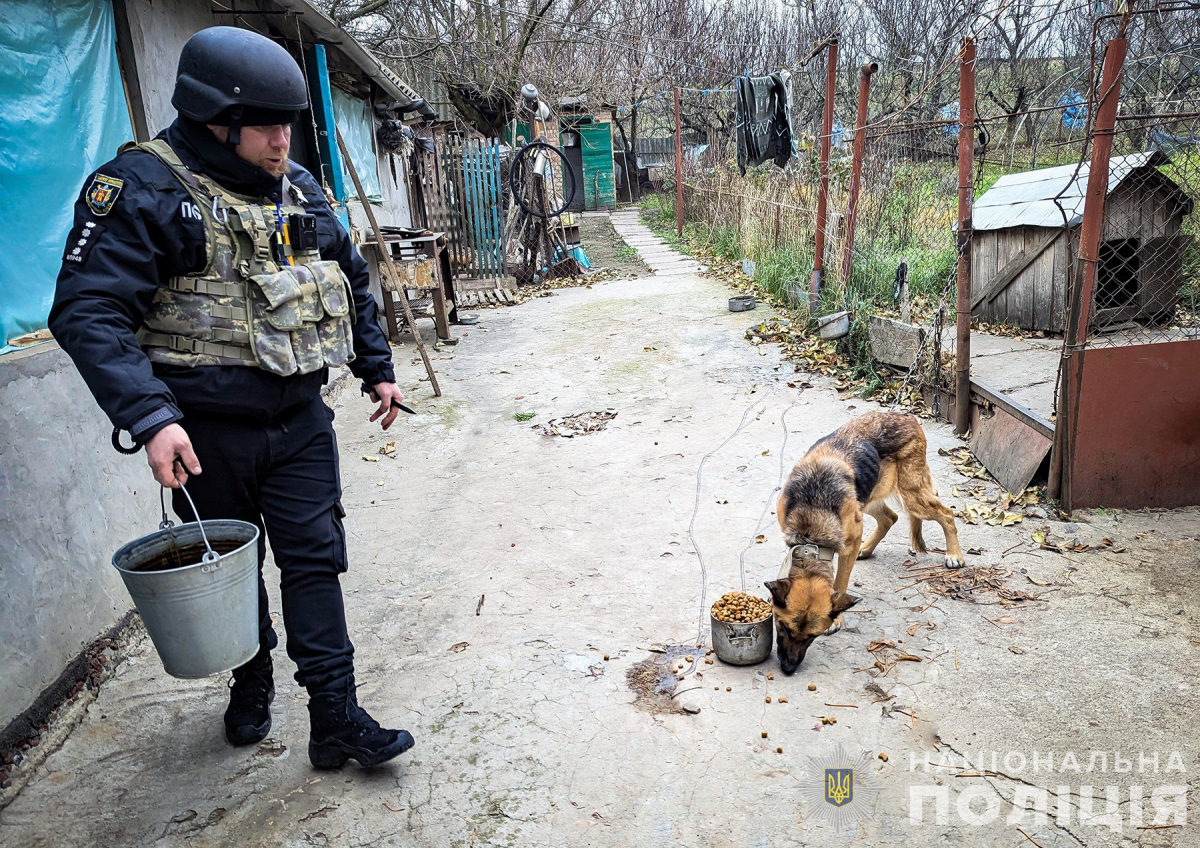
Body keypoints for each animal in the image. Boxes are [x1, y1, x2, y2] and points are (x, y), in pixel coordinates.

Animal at [768, 412, 964, 676]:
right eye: (783, 627)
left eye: (812, 636)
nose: (788, 668)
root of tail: (908, 417)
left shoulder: (850, 539)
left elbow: (840, 581)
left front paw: (838, 618)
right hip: (869, 498)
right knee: (890, 517)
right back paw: (868, 549)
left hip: (911, 497)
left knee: (946, 513)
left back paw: (954, 554)